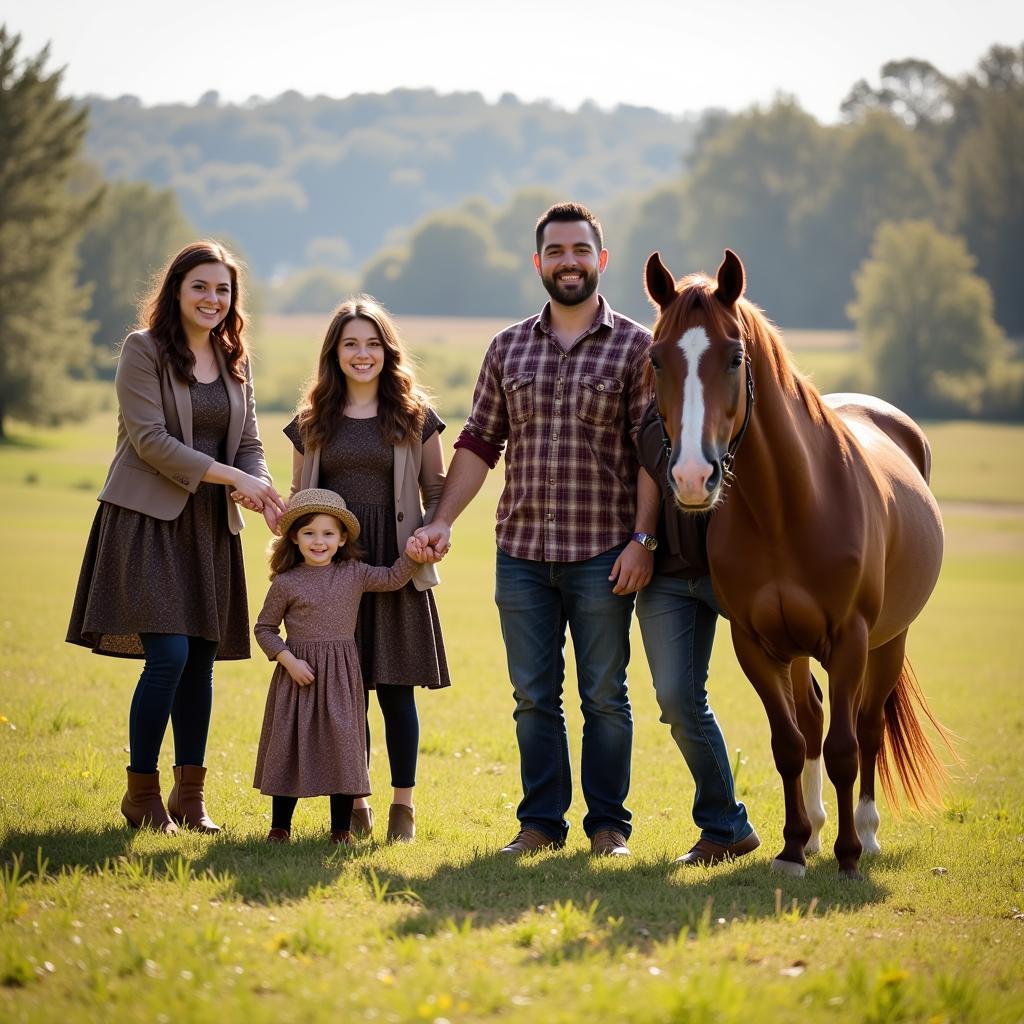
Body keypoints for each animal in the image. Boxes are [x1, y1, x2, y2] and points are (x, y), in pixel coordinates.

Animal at [643, 249, 946, 880]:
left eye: (735, 357)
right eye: (656, 359)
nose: (692, 477)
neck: (786, 507)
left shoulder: (850, 641)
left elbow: (845, 747)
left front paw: (849, 855)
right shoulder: (756, 644)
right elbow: (788, 742)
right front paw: (791, 848)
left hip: (890, 640)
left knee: (867, 728)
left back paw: (867, 836)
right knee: (810, 722)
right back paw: (814, 834)